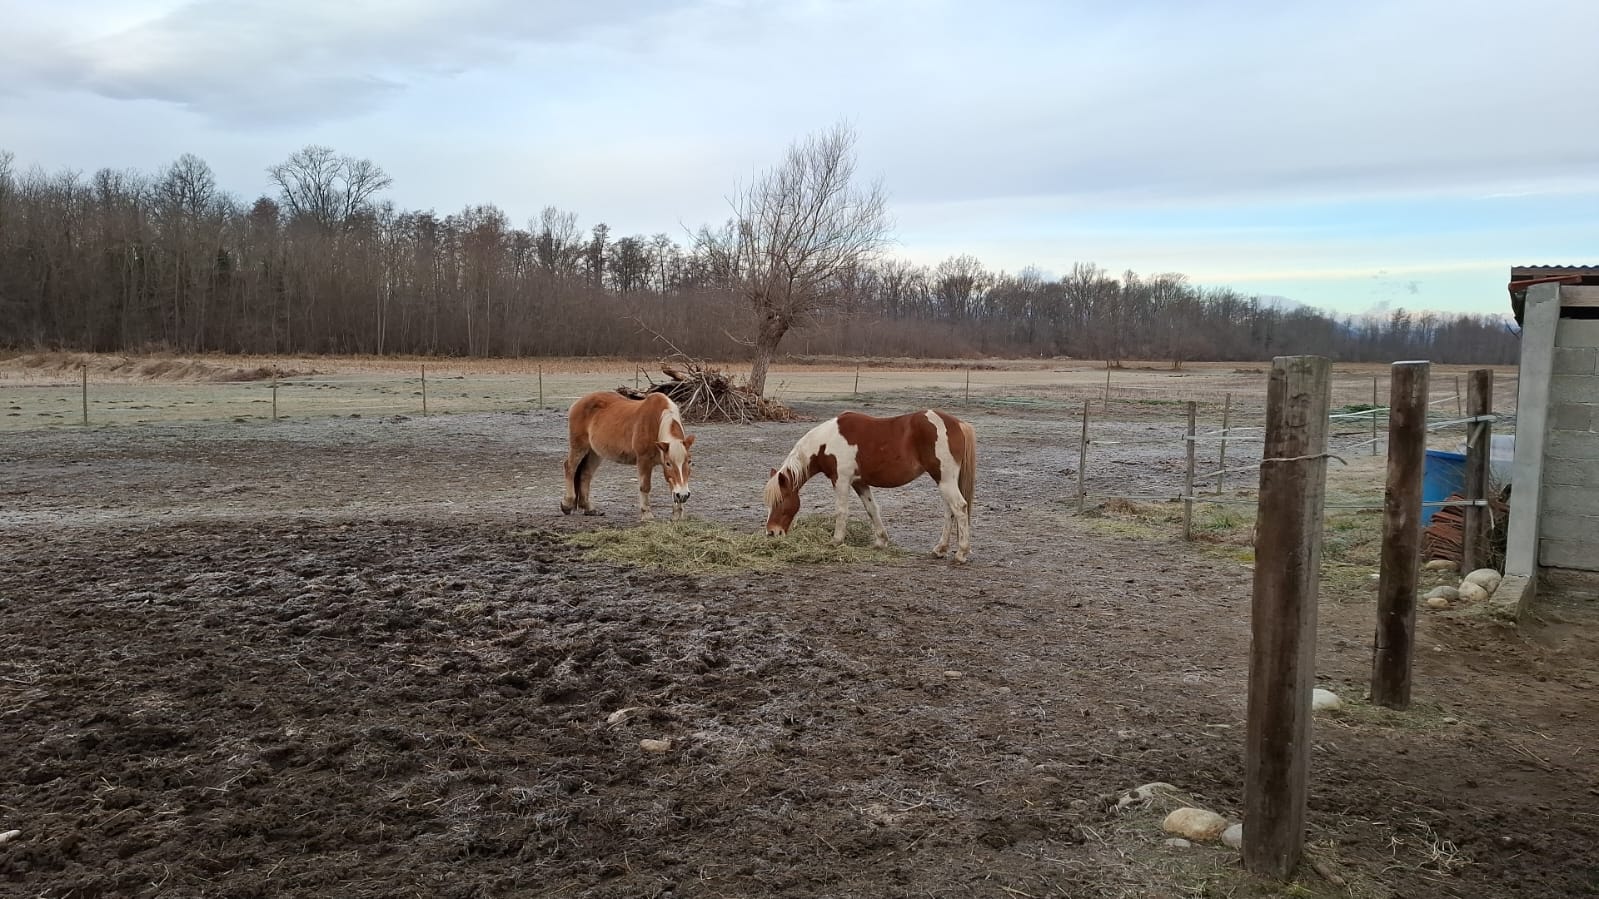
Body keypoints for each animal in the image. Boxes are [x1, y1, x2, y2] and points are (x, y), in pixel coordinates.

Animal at [562, 388, 693, 521]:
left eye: (689, 461)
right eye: (668, 463)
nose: (683, 495)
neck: (657, 422)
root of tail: (578, 402)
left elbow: (672, 486)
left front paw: (677, 515)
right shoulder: (644, 460)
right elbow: (645, 486)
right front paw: (647, 514)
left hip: (595, 452)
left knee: (586, 474)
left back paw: (589, 508)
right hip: (579, 447)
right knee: (570, 468)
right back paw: (567, 504)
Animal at [761, 407, 972, 559]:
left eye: (780, 501)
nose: (771, 532)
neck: (826, 443)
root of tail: (957, 423)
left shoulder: (841, 480)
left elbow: (841, 511)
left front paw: (836, 541)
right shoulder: (859, 483)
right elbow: (872, 509)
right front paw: (880, 541)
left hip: (944, 479)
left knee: (959, 507)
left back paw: (961, 552)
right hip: (943, 480)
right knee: (949, 511)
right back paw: (940, 549)